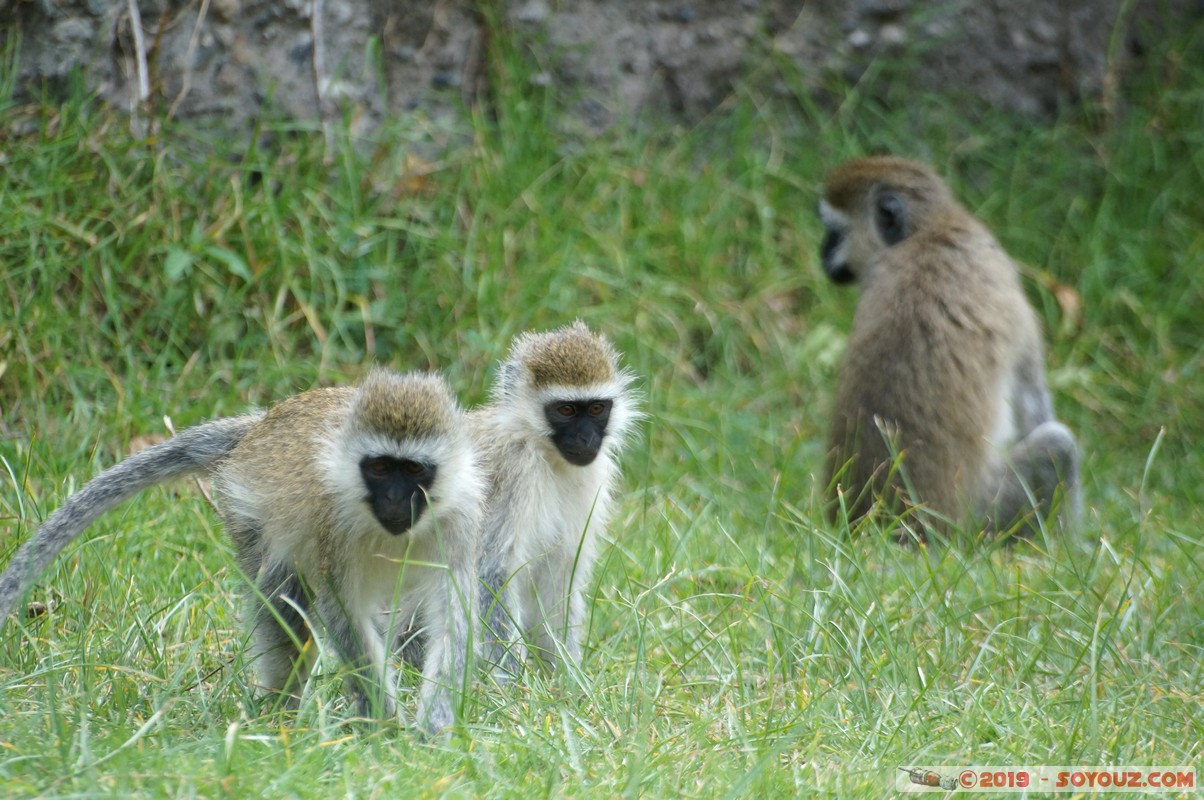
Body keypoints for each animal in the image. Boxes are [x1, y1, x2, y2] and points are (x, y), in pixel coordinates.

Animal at [0, 369, 483, 733]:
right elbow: (341, 612)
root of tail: (259, 426)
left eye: (414, 470)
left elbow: (451, 617)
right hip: (247, 512)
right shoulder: (331, 524)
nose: (395, 501)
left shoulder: (461, 520)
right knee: (283, 601)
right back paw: (281, 710)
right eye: (380, 468)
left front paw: (434, 727)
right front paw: (382, 725)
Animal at [470, 321, 639, 679]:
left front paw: (567, 675)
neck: (543, 454)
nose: (586, 439)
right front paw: (510, 681)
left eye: (596, 408)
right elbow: (491, 573)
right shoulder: (510, 473)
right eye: (565, 410)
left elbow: (559, 573)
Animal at [818, 155, 1081, 538]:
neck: (930, 231)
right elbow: (1035, 411)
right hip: (986, 519)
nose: (822, 253)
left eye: (834, 232)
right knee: (1058, 446)